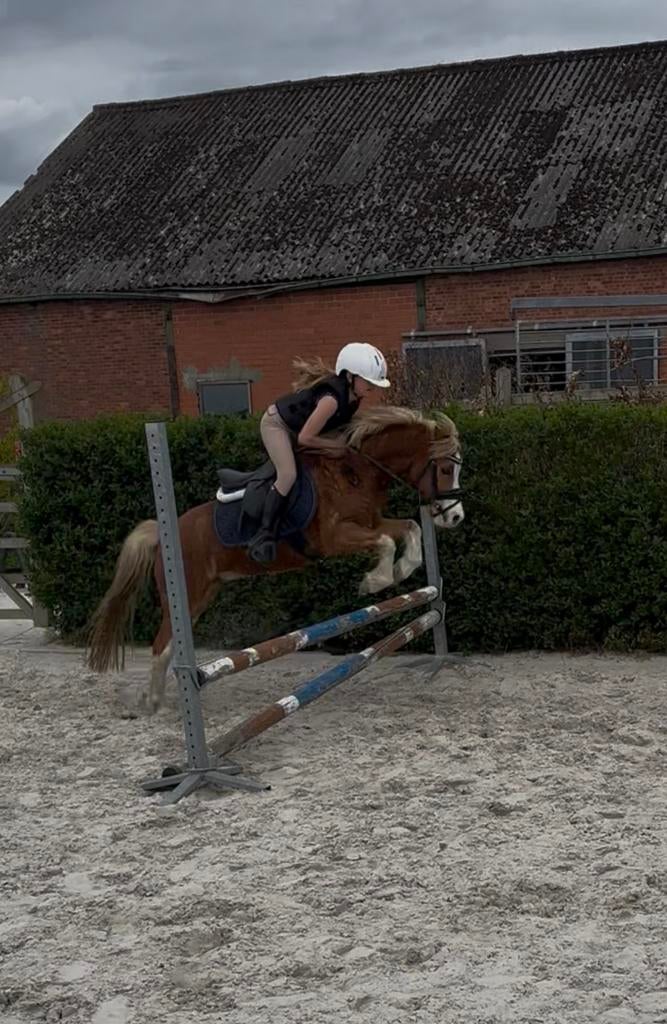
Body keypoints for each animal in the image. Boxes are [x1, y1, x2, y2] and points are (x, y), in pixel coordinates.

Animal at [86, 406, 463, 711]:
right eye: (446, 469)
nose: (455, 517)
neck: (356, 471)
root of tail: (164, 533)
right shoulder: (335, 537)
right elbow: (386, 542)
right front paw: (375, 581)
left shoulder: (371, 522)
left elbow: (411, 527)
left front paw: (402, 569)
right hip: (185, 595)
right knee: (161, 646)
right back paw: (152, 701)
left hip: (204, 594)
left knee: (170, 646)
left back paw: (158, 698)